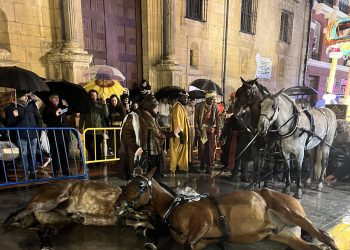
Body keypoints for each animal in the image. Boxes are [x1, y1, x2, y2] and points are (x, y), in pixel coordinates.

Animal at [116, 168, 338, 250]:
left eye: (140, 185)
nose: (118, 204)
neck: (176, 207)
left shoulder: (203, 221)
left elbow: (187, 243)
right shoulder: (199, 242)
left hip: (290, 212)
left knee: (324, 237)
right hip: (284, 235)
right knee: (316, 247)